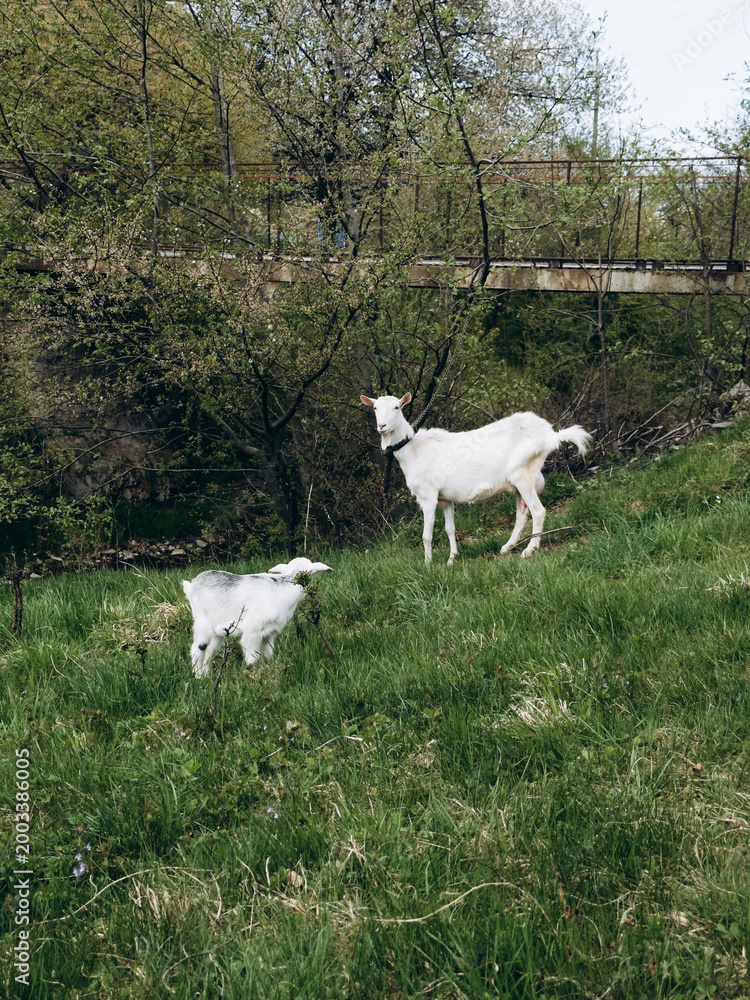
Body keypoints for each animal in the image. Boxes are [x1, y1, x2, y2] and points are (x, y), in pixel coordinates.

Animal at [182, 557, 333, 677]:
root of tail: (191, 586)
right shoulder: (252, 631)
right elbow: (252, 659)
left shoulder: (270, 633)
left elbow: (268, 656)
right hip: (203, 623)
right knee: (197, 649)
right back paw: (199, 677)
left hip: (218, 631)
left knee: (209, 651)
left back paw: (207, 676)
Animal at [361, 393, 592, 563]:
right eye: (375, 409)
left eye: (397, 407)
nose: (382, 426)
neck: (413, 449)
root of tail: (551, 435)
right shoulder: (445, 498)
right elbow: (450, 528)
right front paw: (452, 559)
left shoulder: (428, 496)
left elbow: (427, 535)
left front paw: (428, 565)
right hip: (518, 482)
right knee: (521, 514)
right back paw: (507, 547)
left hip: (523, 474)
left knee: (538, 511)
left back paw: (529, 550)